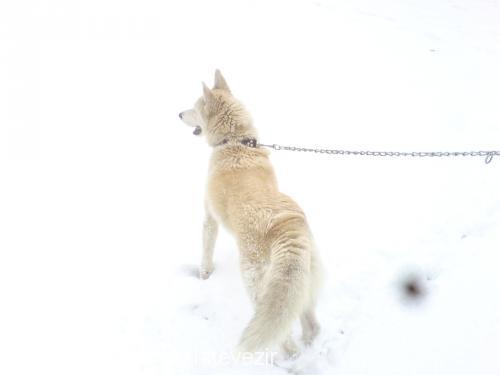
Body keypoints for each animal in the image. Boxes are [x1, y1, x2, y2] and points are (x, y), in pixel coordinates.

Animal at [178, 71, 322, 358]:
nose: (178, 114)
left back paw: (286, 356)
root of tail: (286, 225)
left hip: (255, 282)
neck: (235, 142)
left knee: (282, 336)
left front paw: (204, 275)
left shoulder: (209, 218)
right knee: (311, 325)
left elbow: (206, 252)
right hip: (301, 285)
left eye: (195, 107)